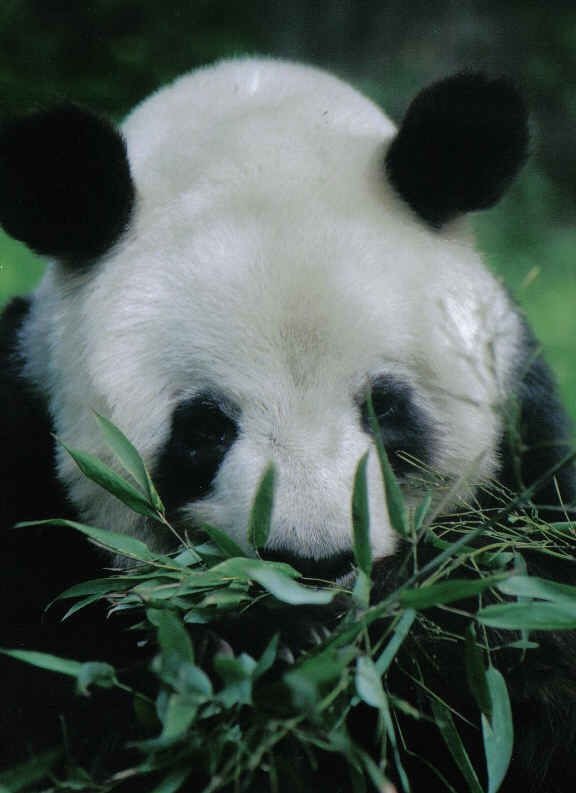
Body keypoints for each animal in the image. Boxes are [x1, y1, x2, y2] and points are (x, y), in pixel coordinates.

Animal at [0, 58, 572, 788]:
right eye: (205, 429)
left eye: (384, 409)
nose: (311, 564)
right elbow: (71, 697)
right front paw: (262, 634)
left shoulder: (534, 457)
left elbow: (523, 650)